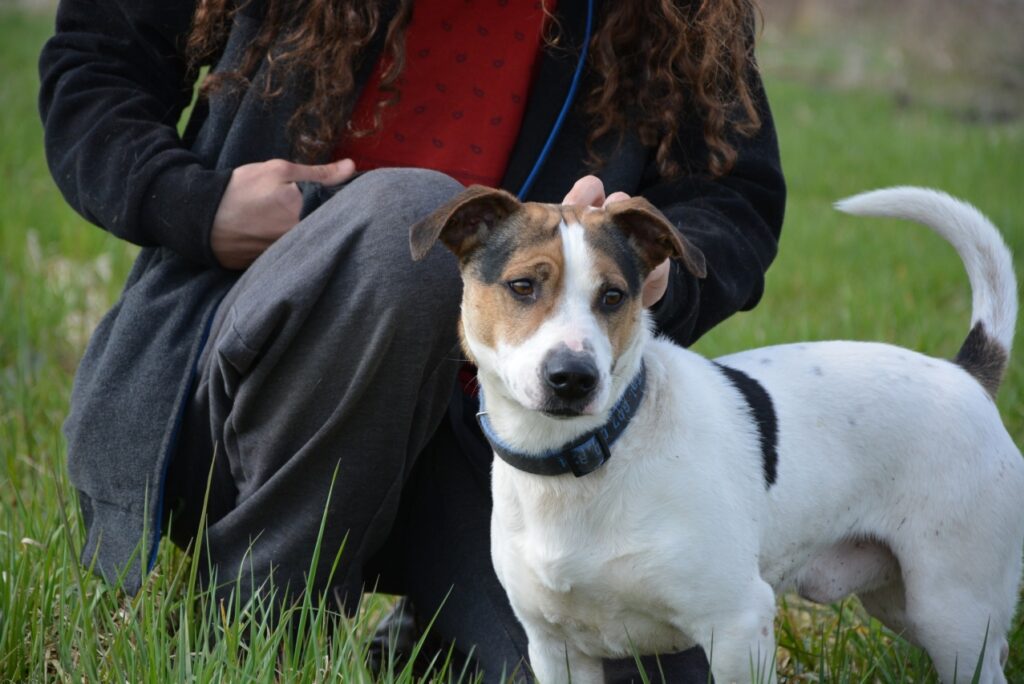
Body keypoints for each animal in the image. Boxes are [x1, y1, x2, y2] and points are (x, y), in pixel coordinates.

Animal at [409, 187, 1024, 684]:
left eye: (613, 296)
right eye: (522, 286)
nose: (574, 378)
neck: (589, 458)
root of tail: (966, 374)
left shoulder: (737, 625)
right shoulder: (556, 650)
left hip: (952, 611)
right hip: (902, 602)